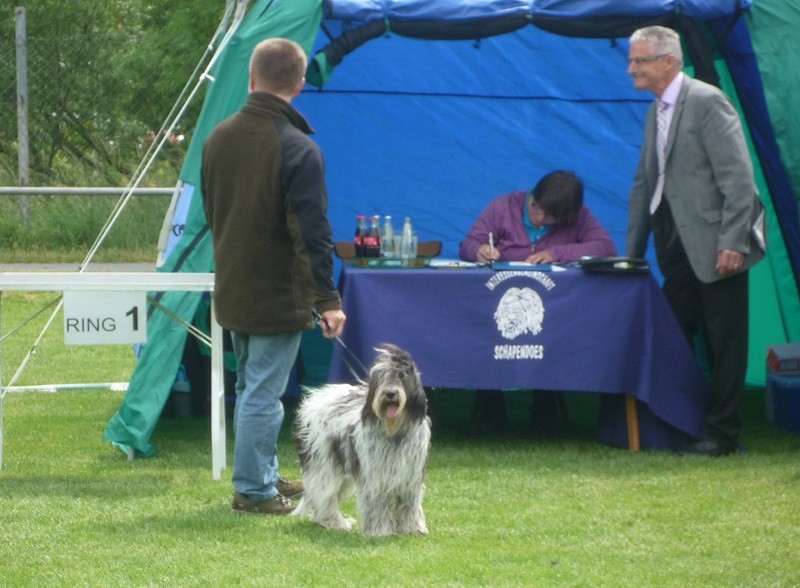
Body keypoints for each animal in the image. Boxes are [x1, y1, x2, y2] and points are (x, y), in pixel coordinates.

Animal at [292, 342, 432, 536]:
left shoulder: (410, 479)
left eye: (402, 376)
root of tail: (317, 398)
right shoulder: (376, 478)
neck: (394, 431)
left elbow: (409, 506)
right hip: (325, 466)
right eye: (382, 377)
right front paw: (380, 531)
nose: (390, 393)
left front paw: (412, 529)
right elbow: (377, 504)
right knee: (325, 496)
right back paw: (335, 522)